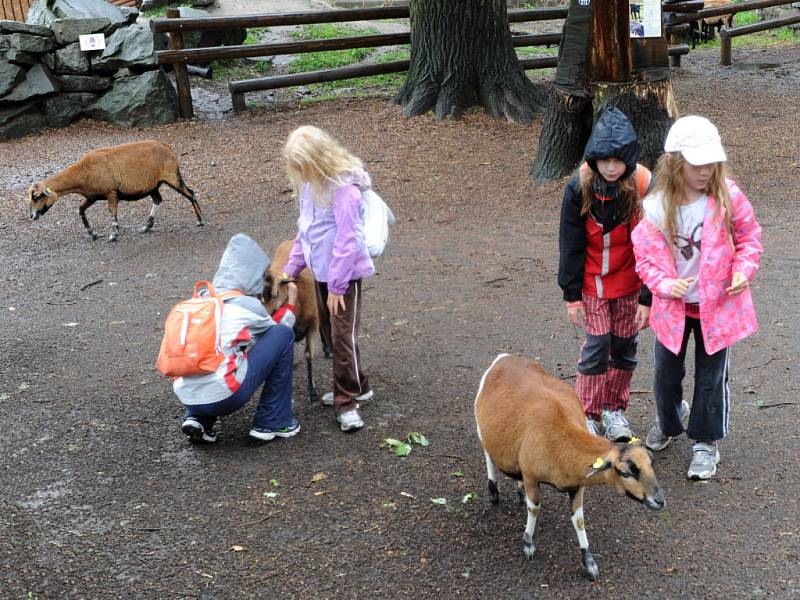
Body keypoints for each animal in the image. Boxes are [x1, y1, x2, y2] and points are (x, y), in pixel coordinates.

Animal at [26, 141, 202, 241]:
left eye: (37, 196)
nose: (32, 216)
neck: (84, 172)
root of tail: (168, 148)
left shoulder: (111, 192)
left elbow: (112, 212)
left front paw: (113, 235)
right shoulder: (92, 196)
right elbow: (80, 210)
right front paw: (92, 234)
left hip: (172, 176)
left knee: (190, 193)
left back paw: (200, 220)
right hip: (152, 185)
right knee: (158, 200)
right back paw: (146, 227)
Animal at [476, 354, 664, 580]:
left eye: (651, 465)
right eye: (626, 472)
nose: (660, 501)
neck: (561, 439)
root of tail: (504, 357)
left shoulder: (577, 485)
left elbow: (579, 520)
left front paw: (589, 563)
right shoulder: (531, 476)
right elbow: (534, 508)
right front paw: (528, 543)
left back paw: (519, 494)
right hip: (483, 430)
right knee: (489, 457)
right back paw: (493, 493)